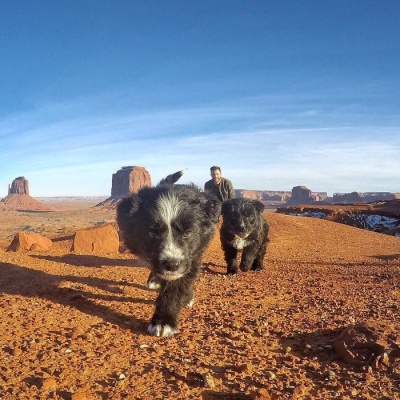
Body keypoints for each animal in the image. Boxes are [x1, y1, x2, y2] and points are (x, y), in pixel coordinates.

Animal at [115, 170, 222, 336]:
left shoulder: (193, 255)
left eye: (187, 232)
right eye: (152, 232)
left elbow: (177, 285)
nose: (172, 265)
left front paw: (164, 321)